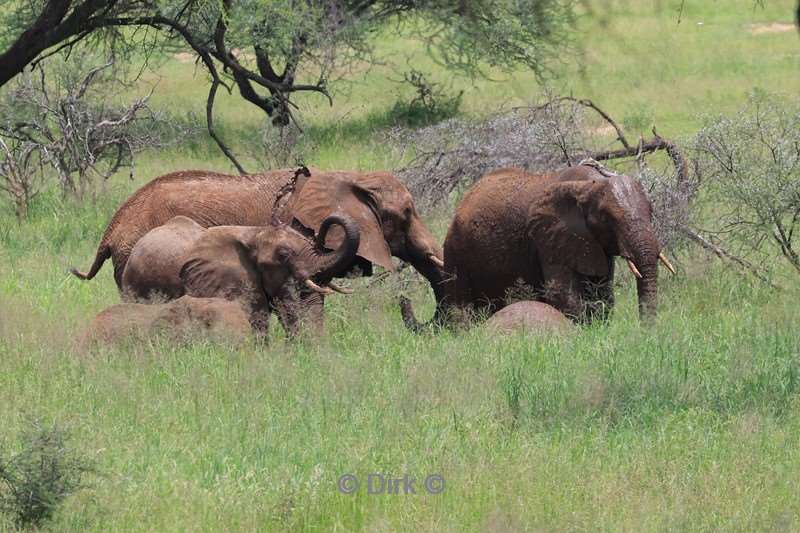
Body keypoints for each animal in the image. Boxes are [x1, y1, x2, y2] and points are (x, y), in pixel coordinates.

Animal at [400, 158, 676, 328]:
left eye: (651, 211)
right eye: (608, 219)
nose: (647, 333)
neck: (589, 185)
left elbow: (602, 294)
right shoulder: (548, 239)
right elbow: (561, 293)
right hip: (457, 249)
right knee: (461, 307)